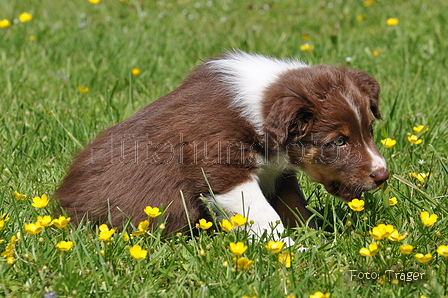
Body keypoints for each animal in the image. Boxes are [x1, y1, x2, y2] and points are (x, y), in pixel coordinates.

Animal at [57, 51, 388, 242]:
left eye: (369, 130)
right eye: (339, 141)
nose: (383, 176)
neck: (258, 112)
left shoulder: (279, 175)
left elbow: (295, 207)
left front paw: (314, 240)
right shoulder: (223, 170)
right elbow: (266, 216)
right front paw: (290, 253)